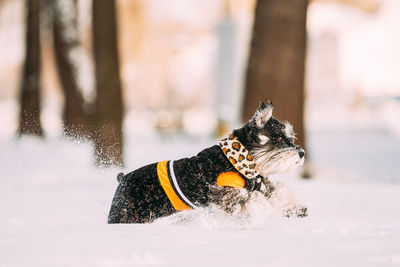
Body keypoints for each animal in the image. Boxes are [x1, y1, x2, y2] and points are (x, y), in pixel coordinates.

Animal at [106, 101, 306, 225]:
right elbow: (248, 200)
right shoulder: (225, 194)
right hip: (126, 214)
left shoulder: (258, 183)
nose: (302, 153)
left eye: (289, 137)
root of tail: (122, 179)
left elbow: (276, 192)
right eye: (278, 138)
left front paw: (295, 208)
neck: (237, 161)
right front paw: (261, 212)